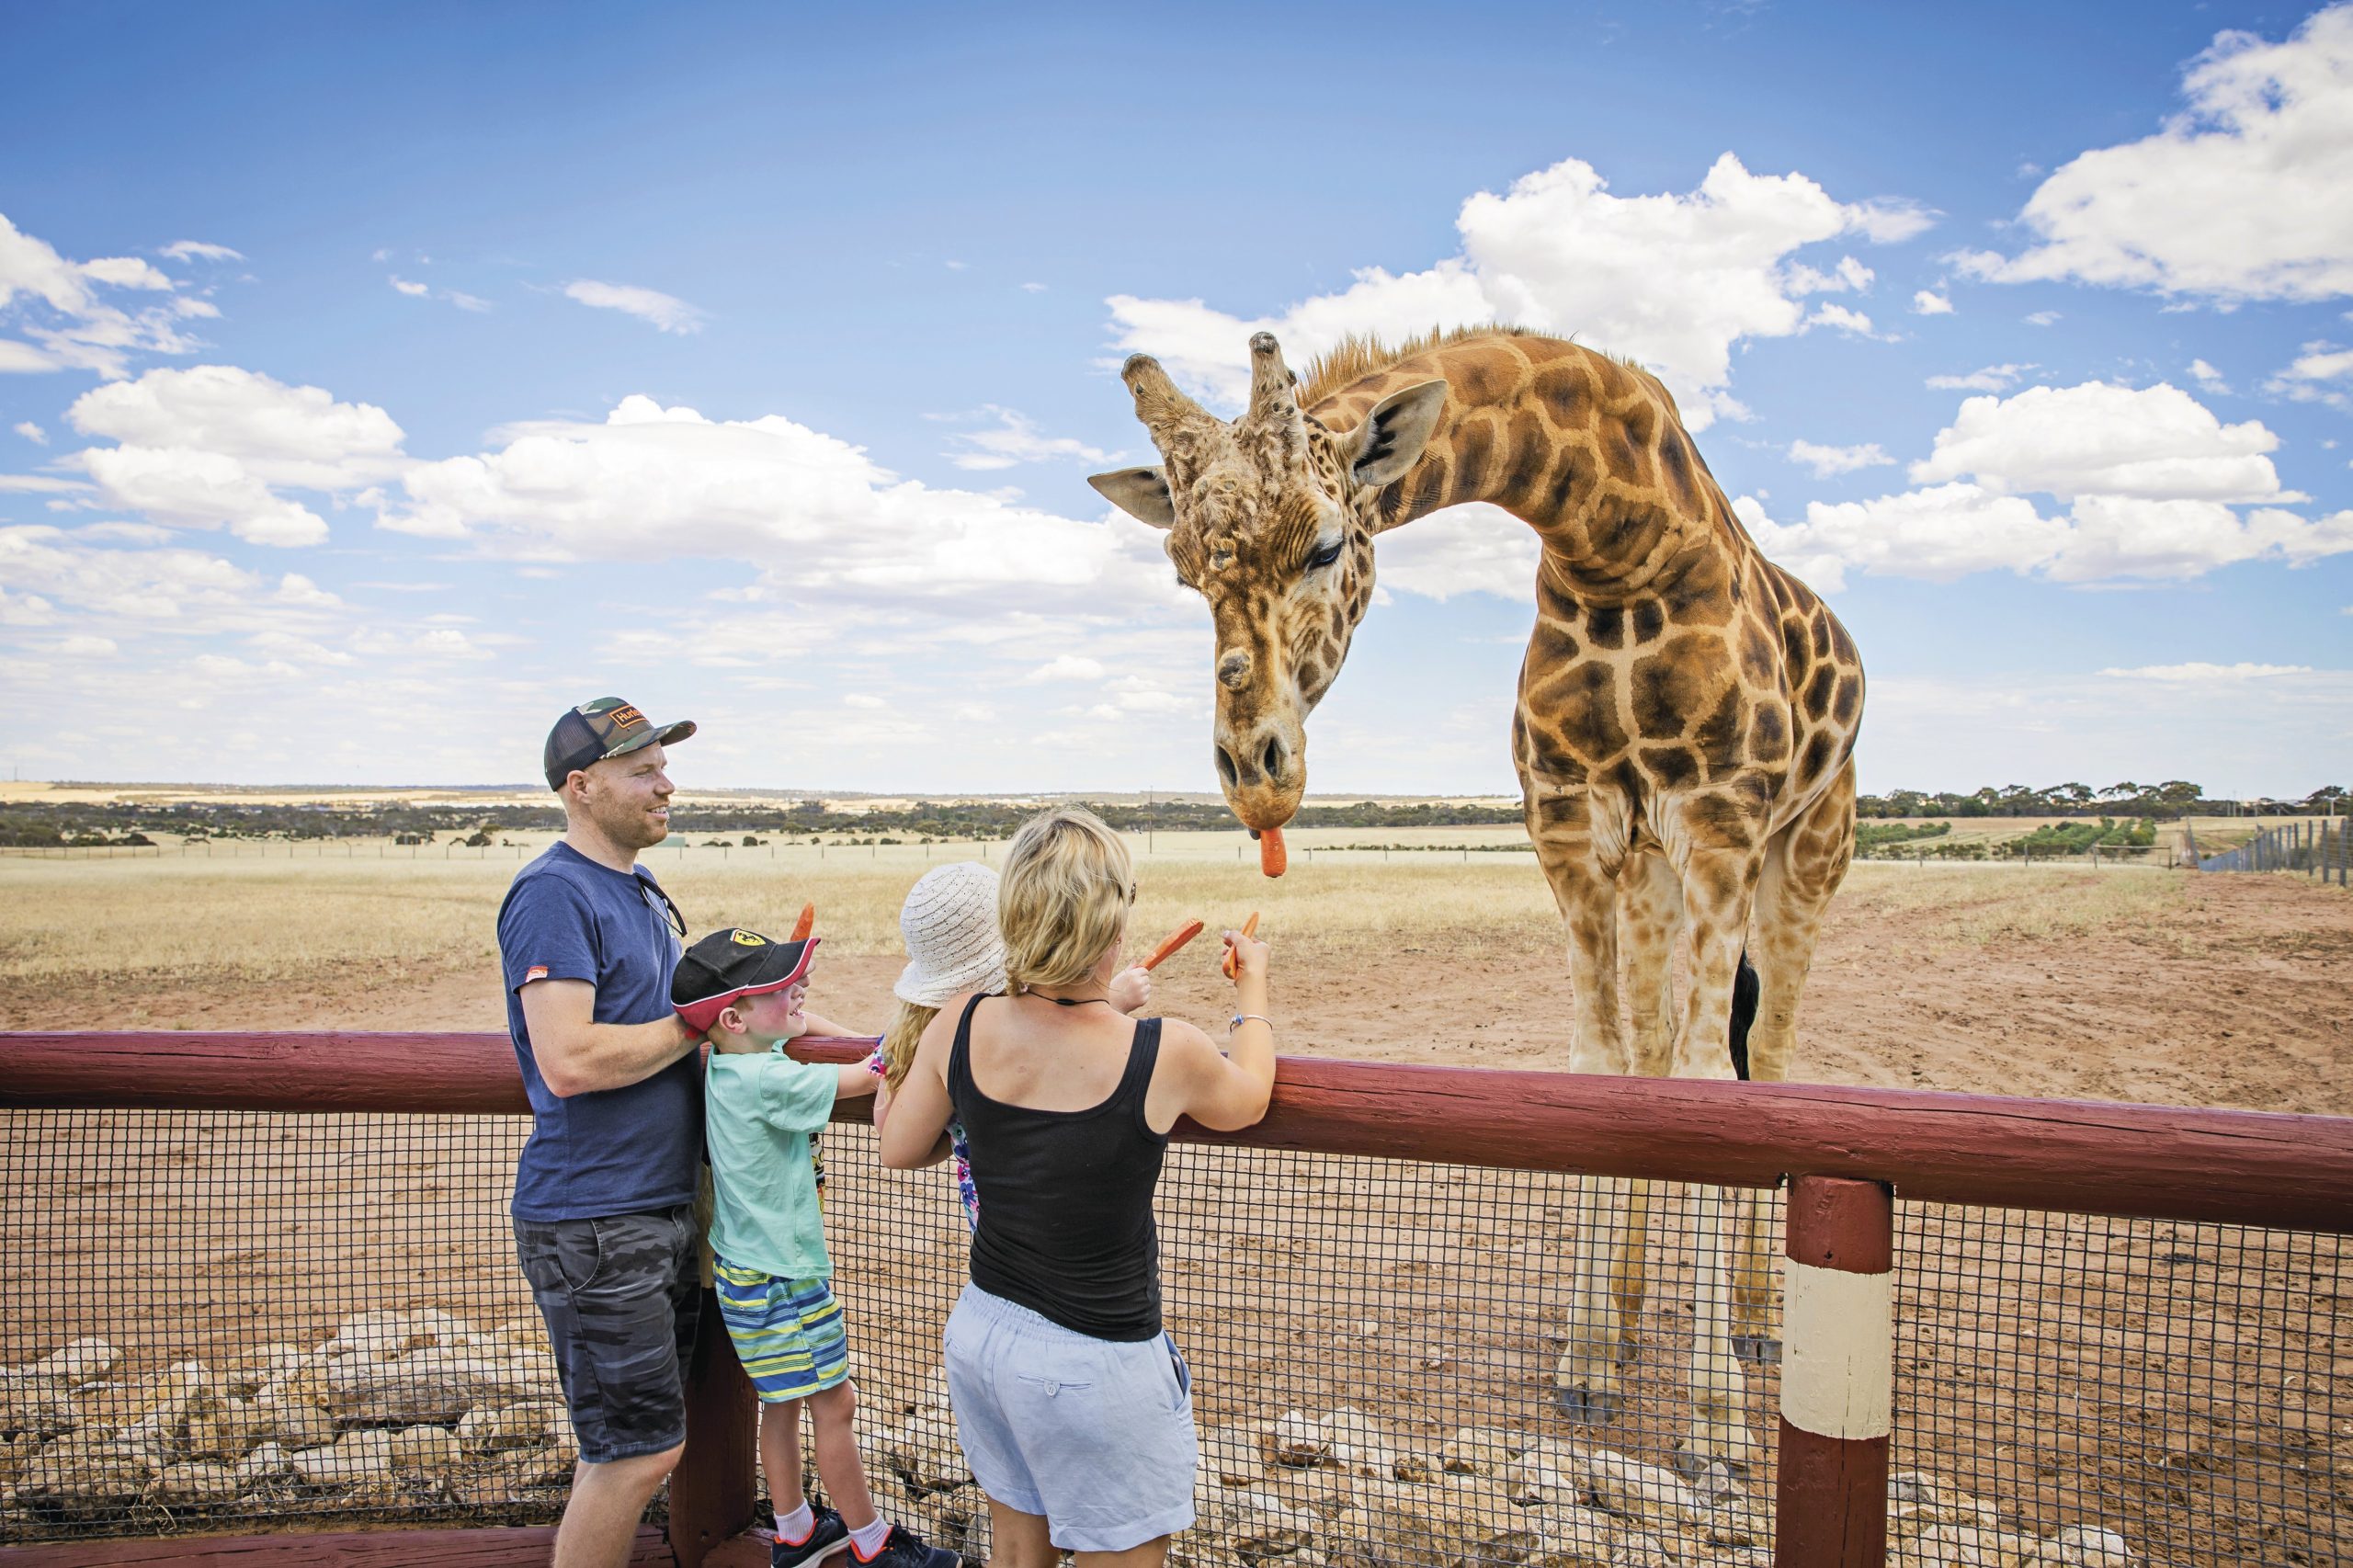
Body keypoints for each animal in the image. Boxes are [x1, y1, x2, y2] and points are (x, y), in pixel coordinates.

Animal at [1091, 322, 1863, 1460]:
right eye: (1184, 571)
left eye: (1326, 545)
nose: (1256, 771)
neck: (1615, 550)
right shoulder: (1572, 828)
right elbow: (1601, 1068)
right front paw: (1588, 1360)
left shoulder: (1721, 823)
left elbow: (1710, 1085)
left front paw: (1717, 1419)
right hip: (1653, 870)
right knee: (1651, 1045)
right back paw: (1630, 1308)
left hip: (1808, 841)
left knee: (1761, 1052)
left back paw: (1760, 1321)